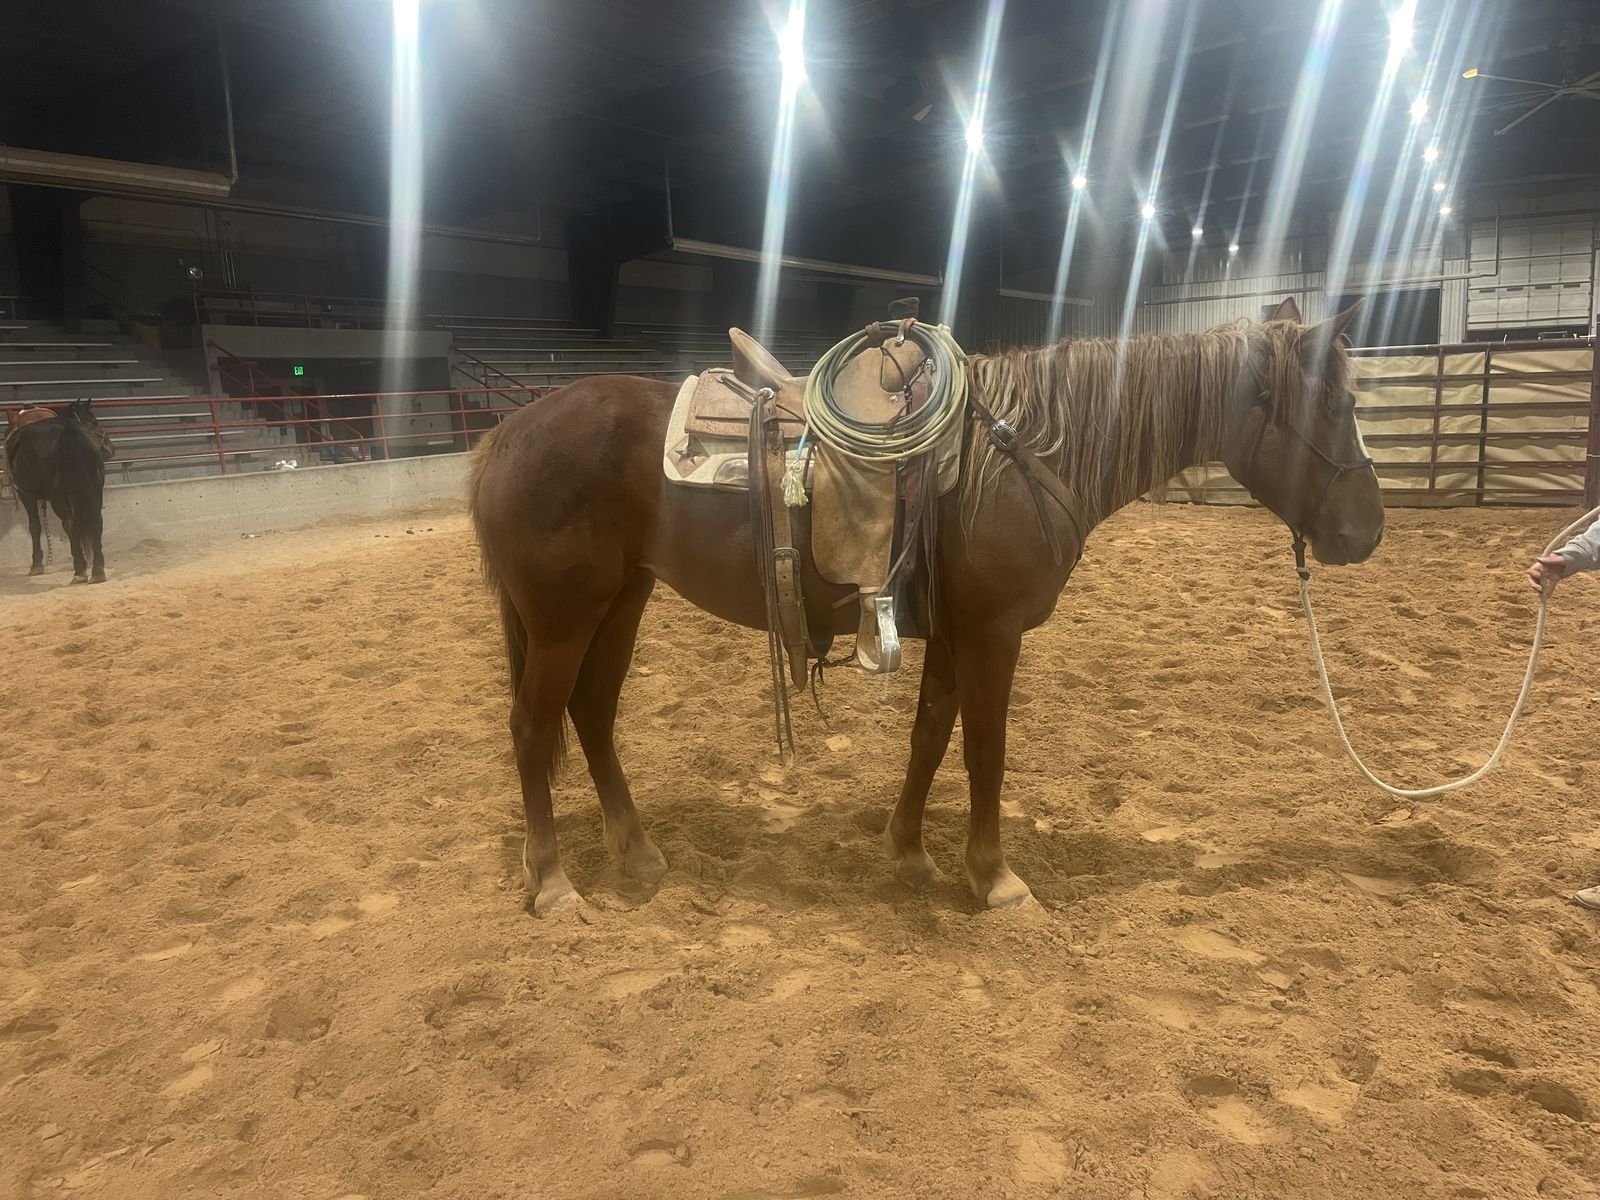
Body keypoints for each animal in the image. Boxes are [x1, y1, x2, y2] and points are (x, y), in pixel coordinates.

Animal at [5, 400, 111, 584]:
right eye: (92, 420)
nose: (109, 448)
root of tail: (67, 430)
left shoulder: (27, 494)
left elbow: (35, 526)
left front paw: (36, 565)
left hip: (58, 496)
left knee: (70, 523)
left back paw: (80, 571)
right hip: (95, 488)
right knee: (96, 521)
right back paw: (97, 570)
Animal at [468, 297, 1384, 915]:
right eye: (1339, 406)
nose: (1368, 529)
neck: (1022, 454)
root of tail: (506, 434)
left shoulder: (951, 633)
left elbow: (930, 737)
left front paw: (909, 855)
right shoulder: (993, 634)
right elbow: (984, 750)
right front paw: (997, 878)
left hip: (621, 600)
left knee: (591, 713)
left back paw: (637, 853)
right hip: (562, 617)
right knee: (534, 727)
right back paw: (553, 883)